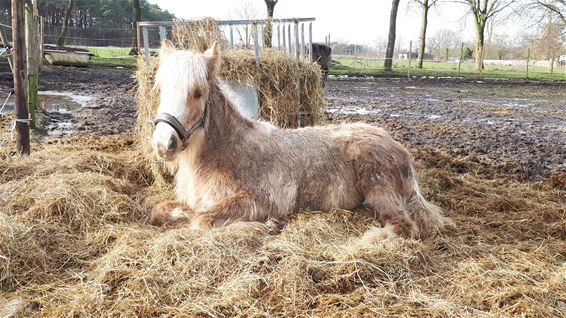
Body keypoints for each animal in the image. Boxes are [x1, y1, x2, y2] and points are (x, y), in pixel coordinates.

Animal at [150, 41, 452, 242]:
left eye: (198, 92)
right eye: (160, 89)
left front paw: (266, 226)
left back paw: (373, 237)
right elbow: (162, 210)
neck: (226, 153)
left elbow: (200, 220)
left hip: (380, 188)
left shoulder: (262, 200)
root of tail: (398, 148)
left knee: (404, 226)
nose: (164, 144)